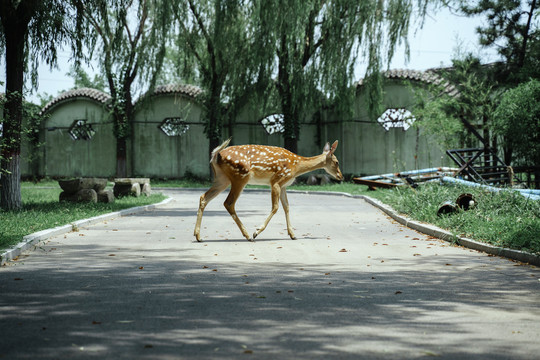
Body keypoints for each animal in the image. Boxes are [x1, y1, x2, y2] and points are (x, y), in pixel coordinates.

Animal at [193, 138, 342, 242]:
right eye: (336, 162)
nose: (341, 176)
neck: (296, 166)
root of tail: (216, 155)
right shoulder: (276, 181)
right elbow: (275, 207)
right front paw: (257, 231)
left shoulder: (284, 185)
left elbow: (287, 207)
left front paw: (293, 234)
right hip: (240, 176)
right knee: (228, 203)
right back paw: (248, 235)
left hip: (222, 179)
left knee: (203, 197)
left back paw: (198, 236)